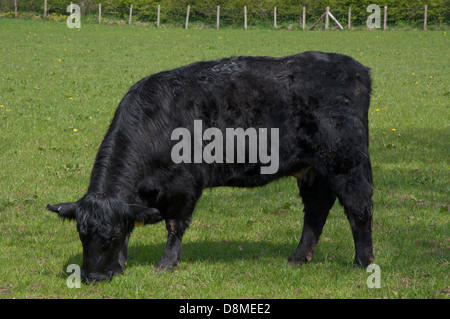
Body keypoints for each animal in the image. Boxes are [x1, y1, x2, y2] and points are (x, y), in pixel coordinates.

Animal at [47, 51, 374, 284]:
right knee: (316, 210)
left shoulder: (184, 185)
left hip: (346, 163)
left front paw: (165, 264)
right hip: (313, 169)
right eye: (82, 235)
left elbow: (174, 225)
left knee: (359, 207)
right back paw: (299, 257)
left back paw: (363, 262)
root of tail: (354, 68)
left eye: (109, 238)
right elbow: (133, 221)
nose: (92, 278)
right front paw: (123, 261)